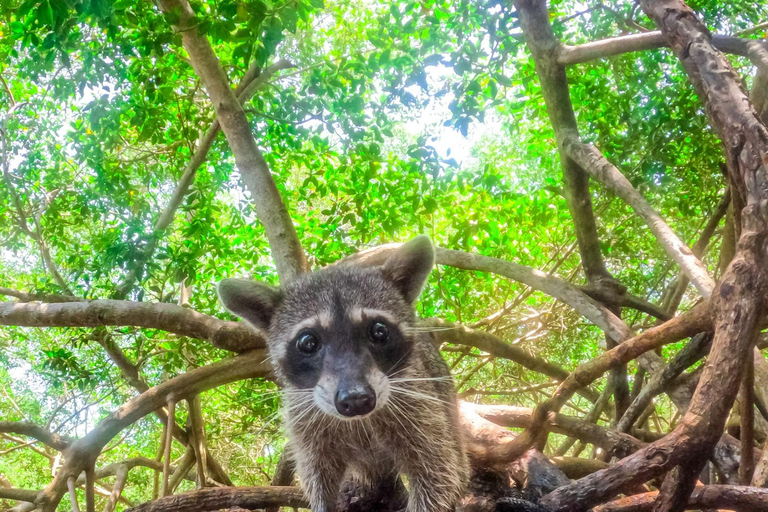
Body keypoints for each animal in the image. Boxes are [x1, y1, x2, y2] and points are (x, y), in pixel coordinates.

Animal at [216, 237, 468, 512]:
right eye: (308, 342)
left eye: (379, 331)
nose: (357, 399)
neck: (359, 421)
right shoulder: (305, 423)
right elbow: (317, 478)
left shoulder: (420, 409)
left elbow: (440, 472)